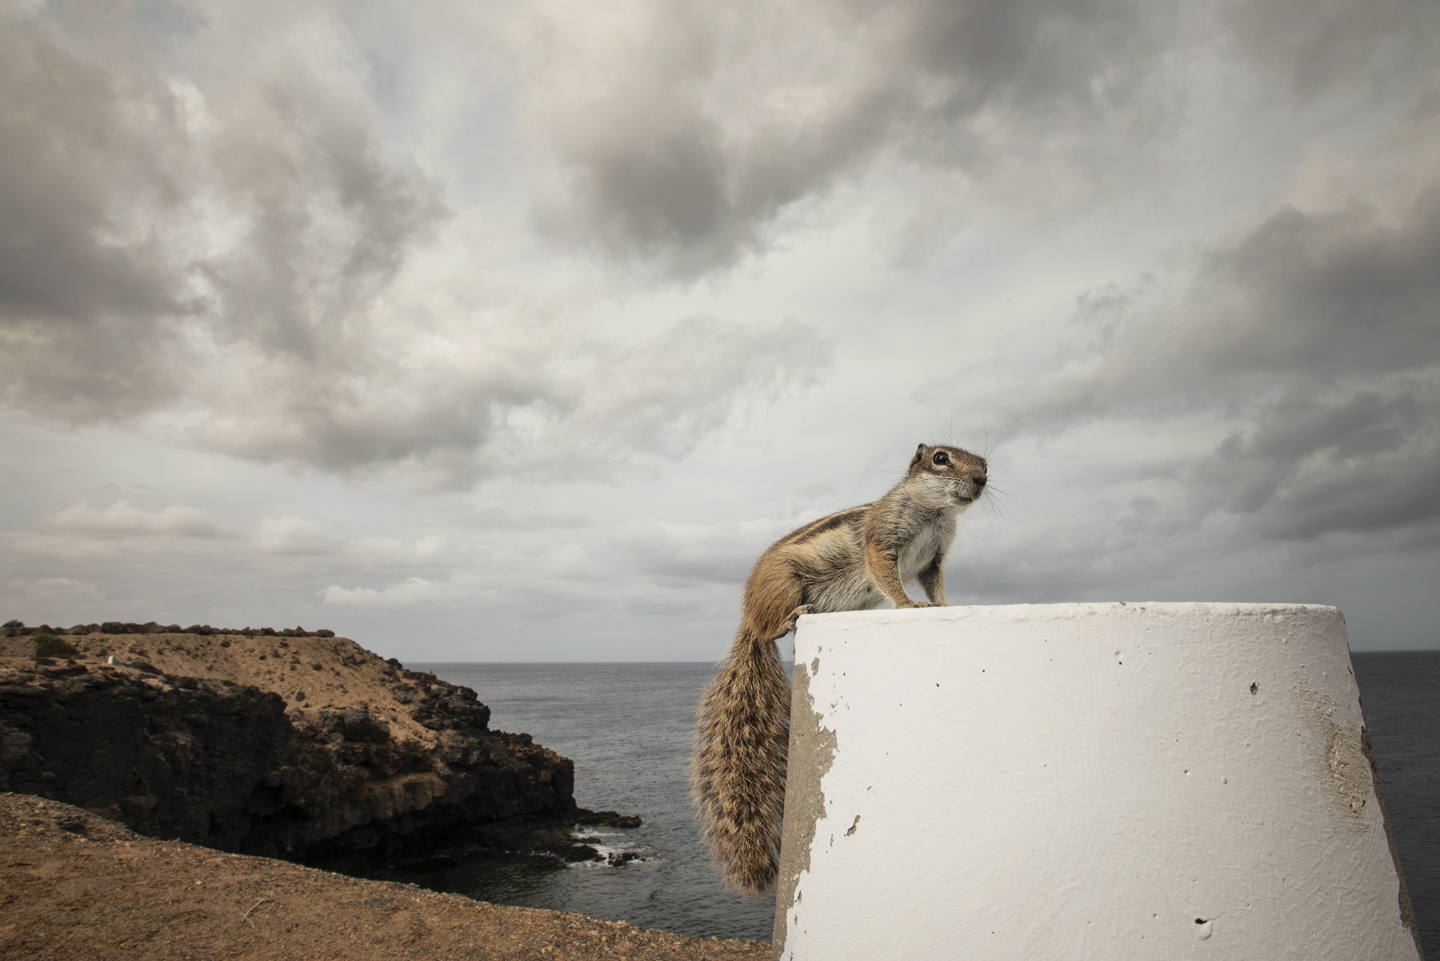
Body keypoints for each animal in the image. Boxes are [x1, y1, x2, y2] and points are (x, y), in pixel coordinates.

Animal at [688, 443, 984, 893]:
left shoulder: (933, 559)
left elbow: (936, 585)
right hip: (786, 584)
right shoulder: (881, 542)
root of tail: (750, 615)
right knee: (771, 628)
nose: (981, 480)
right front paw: (909, 604)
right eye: (940, 458)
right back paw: (790, 618)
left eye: (984, 464)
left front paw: (943, 605)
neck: (935, 514)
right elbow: (888, 576)